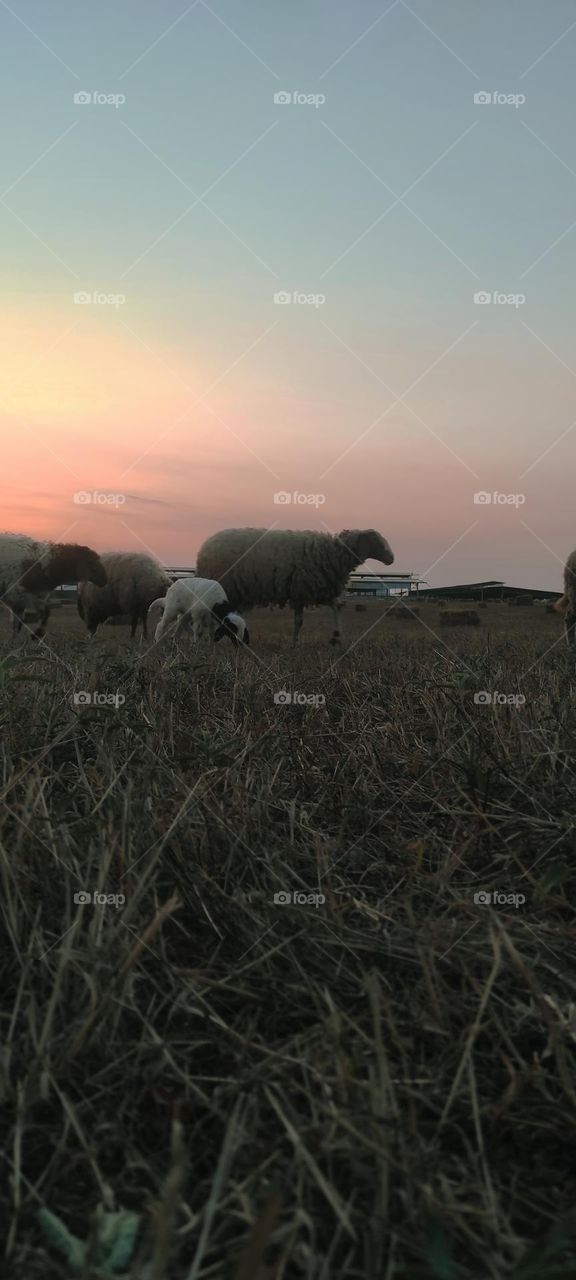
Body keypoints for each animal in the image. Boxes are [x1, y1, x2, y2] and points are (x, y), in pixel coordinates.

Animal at [196, 527, 394, 646]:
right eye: (377, 541)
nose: (392, 559)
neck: (331, 553)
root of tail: (204, 548)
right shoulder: (307, 588)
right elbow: (300, 621)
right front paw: (297, 643)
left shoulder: (312, 590)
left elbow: (332, 608)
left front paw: (336, 638)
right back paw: (209, 640)